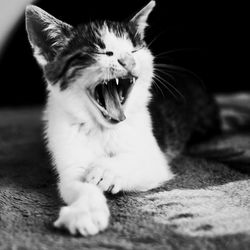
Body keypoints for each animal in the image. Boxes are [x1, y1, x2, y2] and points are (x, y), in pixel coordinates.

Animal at [25, 0, 220, 236]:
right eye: (101, 51)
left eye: (134, 50)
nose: (127, 60)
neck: (102, 129)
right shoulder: (68, 158)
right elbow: (77, 184)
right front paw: (85, 210)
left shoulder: (156, 158)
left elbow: (140, 161)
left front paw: (108, 170)